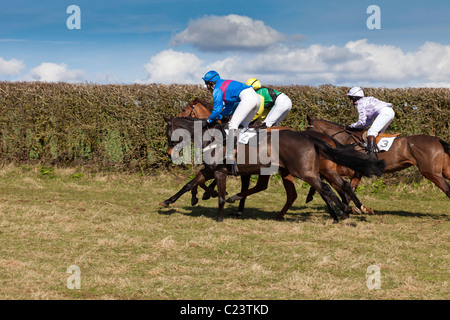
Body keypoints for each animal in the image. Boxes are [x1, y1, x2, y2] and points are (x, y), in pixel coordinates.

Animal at [160, 115, 384, 222]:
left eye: (169, 130)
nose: (170, 153)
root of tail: (307, 137)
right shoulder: (208, 170)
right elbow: (189, 184)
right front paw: (168, 201)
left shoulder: (219, 171)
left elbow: (219, 194)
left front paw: (219, 215)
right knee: (329, 188)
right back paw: (343, 211)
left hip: (304, 172)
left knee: (327, 188)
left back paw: (344, 211)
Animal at [306, 116, 450, 199]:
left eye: (307, 129)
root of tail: (437, 140)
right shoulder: (356, 173)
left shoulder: (350, 170)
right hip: (443, 170)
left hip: (430, 172)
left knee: (447, 189)